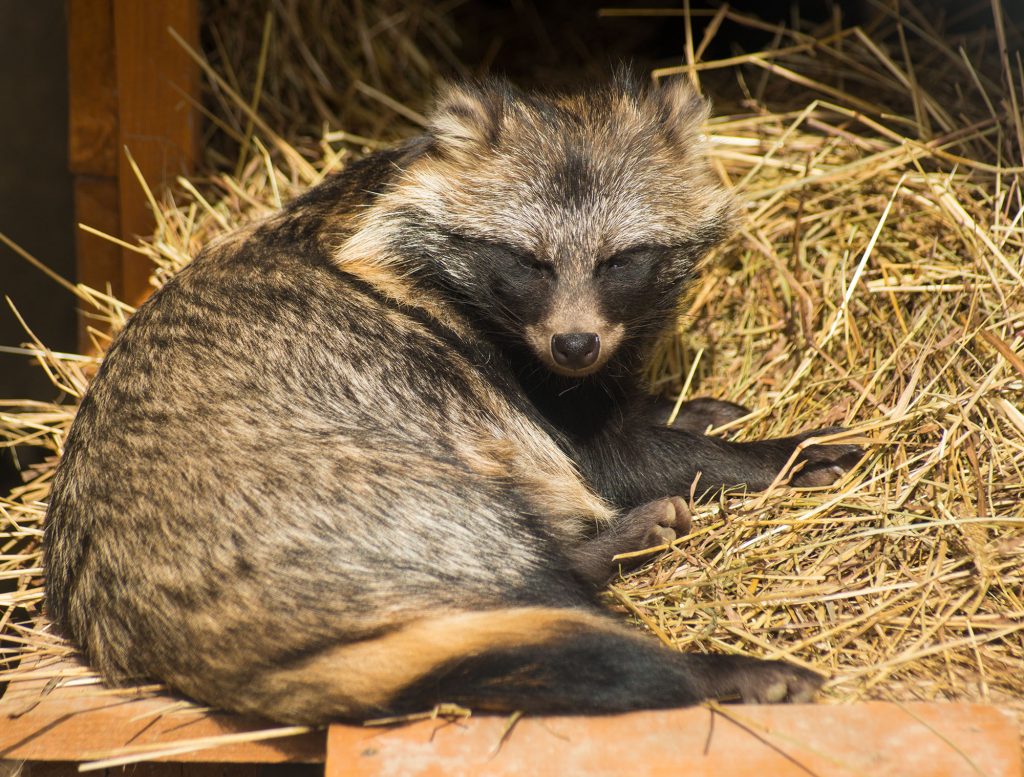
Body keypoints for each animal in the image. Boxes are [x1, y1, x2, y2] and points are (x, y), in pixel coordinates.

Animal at [46, 75, 864, 724]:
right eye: (529, 263)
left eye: (619, 262)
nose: (575, 345)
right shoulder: (496, 379)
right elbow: (613, 457)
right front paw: (771, 456)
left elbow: (618, 416)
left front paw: (681, 406)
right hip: (373, 501)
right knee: (541, 589)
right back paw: (694, 651)